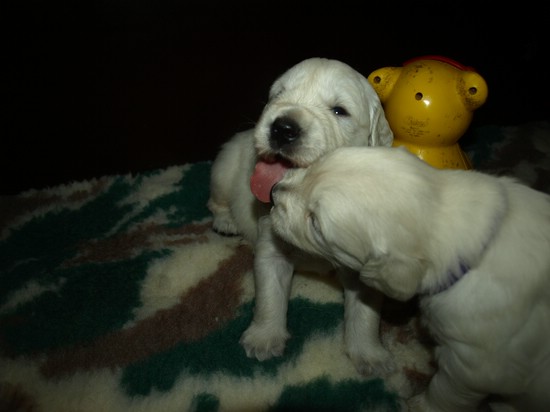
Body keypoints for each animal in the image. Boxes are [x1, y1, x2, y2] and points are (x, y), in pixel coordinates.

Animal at [207, 57, 395, 375]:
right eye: (279, 95)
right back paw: (226, 221)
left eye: (339, 110)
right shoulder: (271, 248)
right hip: (225, 167)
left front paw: (370, 355)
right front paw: (263, 339)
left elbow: (365, 312)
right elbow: (270, 296)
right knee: (216, 199)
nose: (282, 128)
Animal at [270, 145, 550, 411]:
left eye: (315, 223)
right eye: (315, 166)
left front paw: (420, 405)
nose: (273, 192)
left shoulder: (473, 363)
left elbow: (445, 388)